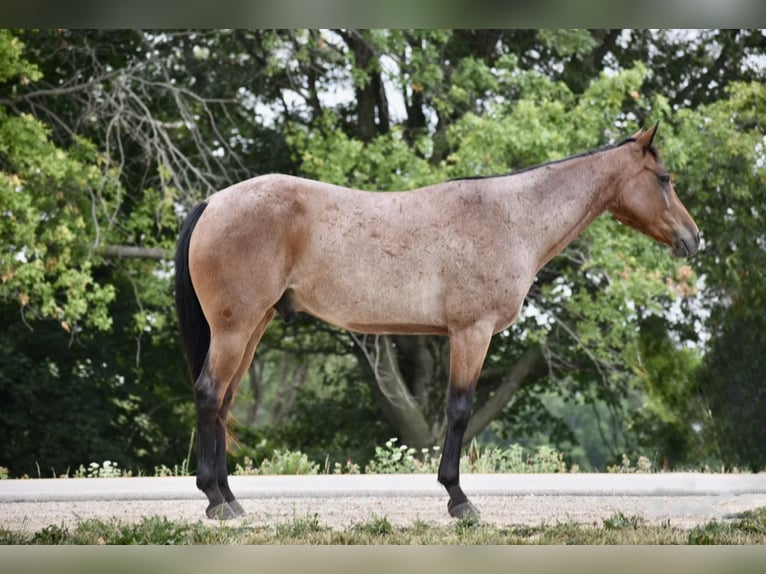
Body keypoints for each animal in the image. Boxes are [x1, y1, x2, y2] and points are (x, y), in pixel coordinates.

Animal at [174, 125, 704, 520]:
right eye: (664, 178)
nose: (693, 238)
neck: (511, 217)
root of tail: (213, 203)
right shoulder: (471, 333)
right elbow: (460, 409)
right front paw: (458, 499)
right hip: (235, 330)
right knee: (209, 395)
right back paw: (216, 501)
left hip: (252, 328)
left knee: (223, 404)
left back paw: (231, 500)